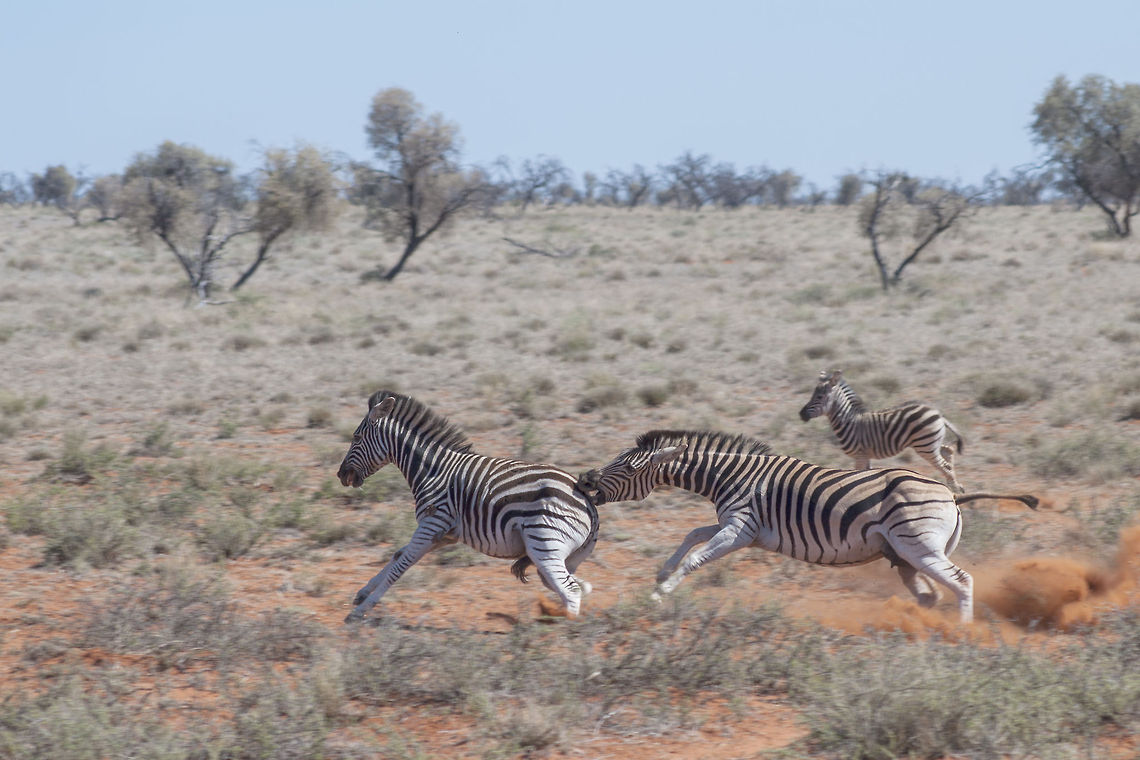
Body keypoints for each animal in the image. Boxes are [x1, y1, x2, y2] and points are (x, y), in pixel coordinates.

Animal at [336, 391, 598, 622]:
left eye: (356, 438)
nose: (341, 475)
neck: (434, 470)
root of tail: (587, 501)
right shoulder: (444, 534)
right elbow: (398, 554)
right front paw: (363, 593)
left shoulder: (432, 524)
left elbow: (400, 566)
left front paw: (361, 611)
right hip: (564, 555)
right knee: (569, 587)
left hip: (543, 545)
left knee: (571, 593)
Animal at [577, 430, 1037, 623]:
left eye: (625, 467)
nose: (584, 481)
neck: (729, 478)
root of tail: (951, 497)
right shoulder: (738, 526)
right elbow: (692, 536)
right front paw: (660, 575)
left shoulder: (740, 529)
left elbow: (696, 559)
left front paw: (662, 594)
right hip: (907, 555)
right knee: (931, 592)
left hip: (919, 547)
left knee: (961, 581)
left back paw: (962, 632)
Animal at [799, 369, 967, 493]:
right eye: (813, 395)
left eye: (819, 397)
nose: (801, 414)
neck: (849, 421)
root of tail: (938, 414)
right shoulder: (865, 456)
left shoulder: (860, 456)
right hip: (931, 443)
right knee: (948, 451)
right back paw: (957, 485)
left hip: (925, 446)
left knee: (945, 465)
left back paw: (955, 490)